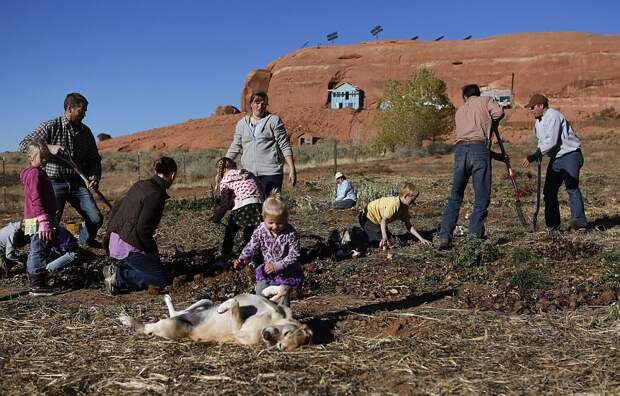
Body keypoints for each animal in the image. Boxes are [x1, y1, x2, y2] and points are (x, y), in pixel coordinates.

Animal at [120, 284, 314, 352]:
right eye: (286, 333)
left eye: (280, 346)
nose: (266, 336)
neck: (272, 320)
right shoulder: (279, 308)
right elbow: (284, 288)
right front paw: (268, 291)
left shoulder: (239, 331)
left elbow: (235, 302)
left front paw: (225, 306)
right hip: (204, 302)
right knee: (180, 311)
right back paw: (168, 299)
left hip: (169, 326)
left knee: (147, 328)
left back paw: (128, 320)